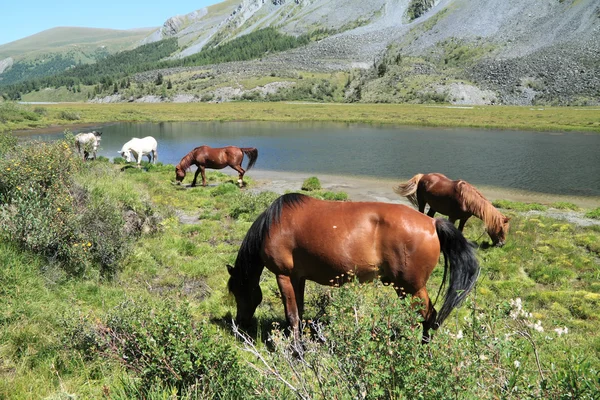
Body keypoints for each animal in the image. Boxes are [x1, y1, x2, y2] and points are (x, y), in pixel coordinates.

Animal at [227, 194, 480, 344]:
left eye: (239, 292)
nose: (240, 324)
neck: (273, 225)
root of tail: (433, 222)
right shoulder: (298, 278)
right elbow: (299, 311)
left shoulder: (284, 276)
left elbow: (292, 315)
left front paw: (296, 350)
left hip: (411, 287)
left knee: (427, 317)